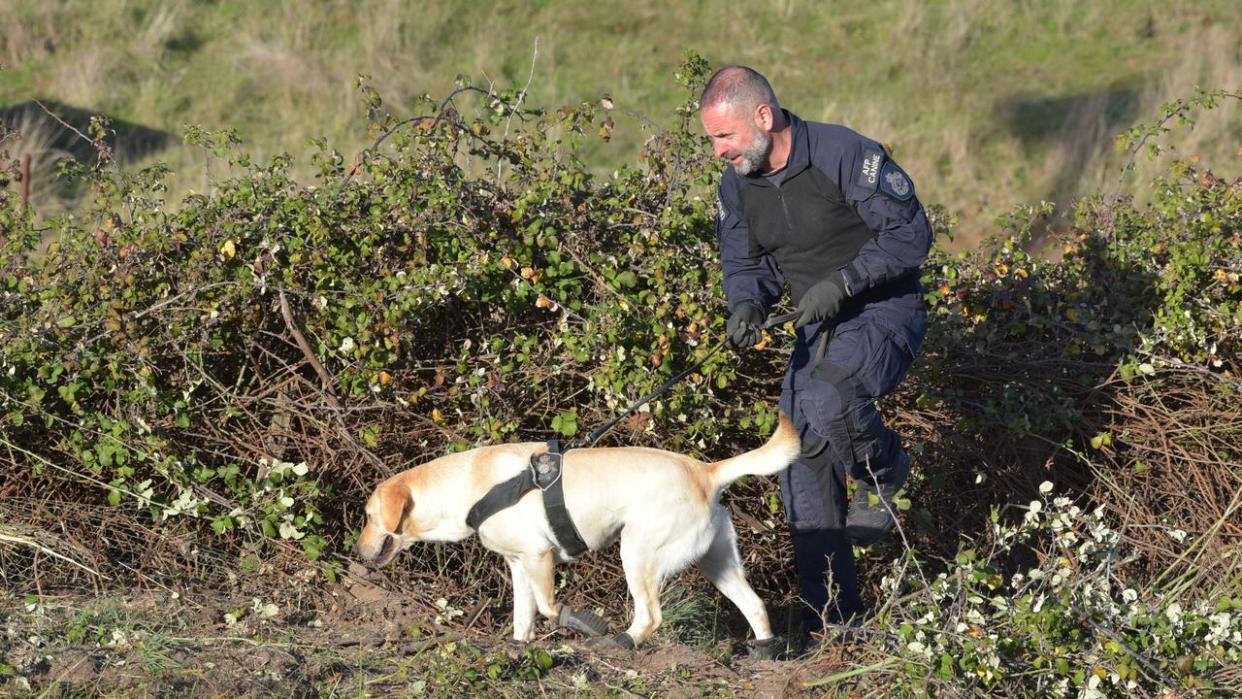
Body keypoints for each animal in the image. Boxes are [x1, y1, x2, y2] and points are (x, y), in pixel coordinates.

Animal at [352, 412, 794, 655]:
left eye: (369, 517)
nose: (357, 553)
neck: (469, 486)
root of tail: (706, 471)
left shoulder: (538, 556)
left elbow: (550, 608)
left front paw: (581, 622)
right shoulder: (518, 566)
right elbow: (523, 617)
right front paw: (519, 648)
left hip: (636, 553)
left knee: (650, 616)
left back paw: (620, 643)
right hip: (717, 563)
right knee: (756, 606)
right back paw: (765, 653)